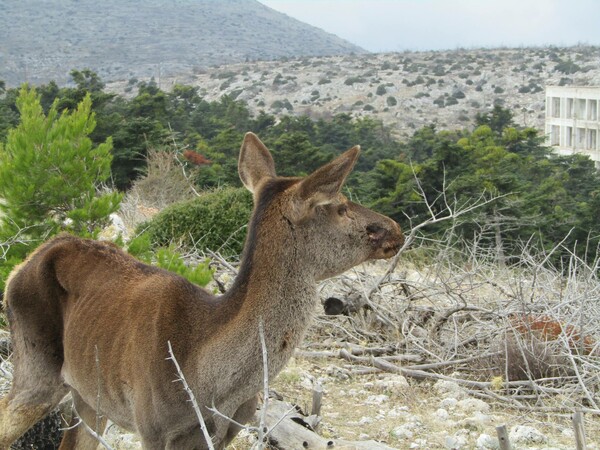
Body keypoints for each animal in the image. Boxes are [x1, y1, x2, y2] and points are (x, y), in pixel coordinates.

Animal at [1, 132, 404, 448]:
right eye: (339, 206)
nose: (395, 229)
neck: (208, 380)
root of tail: (22, 265)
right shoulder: (153, 425)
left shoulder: (228, 430)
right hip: (35, 363)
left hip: (90, 398)